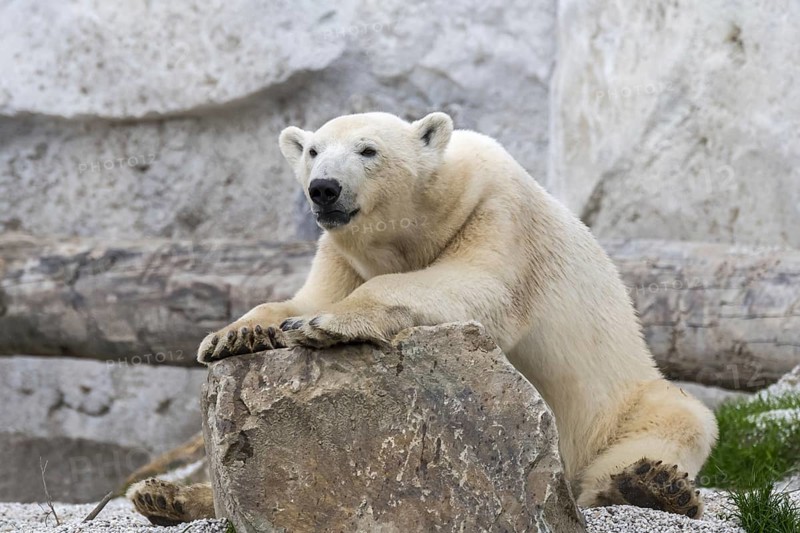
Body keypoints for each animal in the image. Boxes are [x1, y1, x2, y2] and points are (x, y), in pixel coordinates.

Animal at [128, 111, 718, 525]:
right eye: (313, 149)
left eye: (368, 149)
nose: (324, 187)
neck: (427, 215)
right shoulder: (341, 256)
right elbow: (299, 297)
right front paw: (235, 333)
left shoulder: (496, 214)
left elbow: (476, 286)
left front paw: (324, 324)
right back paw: (164, 496)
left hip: (623, 403)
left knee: (678, 422)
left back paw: (649, 485)